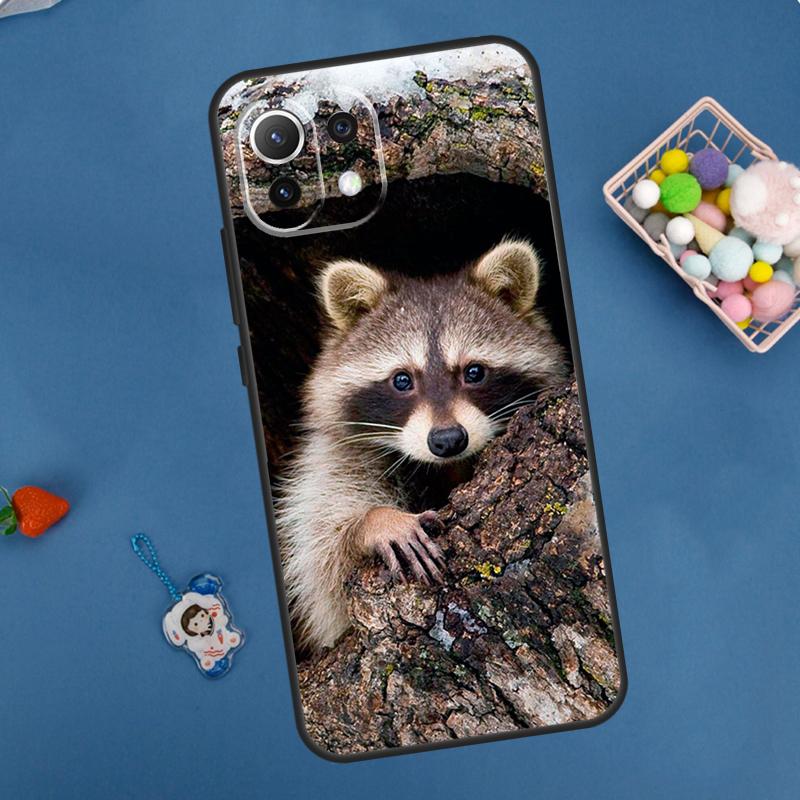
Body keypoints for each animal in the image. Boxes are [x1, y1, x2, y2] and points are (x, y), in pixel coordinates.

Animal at [276, 240, 568, 652]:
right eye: (402, 380)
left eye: (474, 372)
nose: (448, 440)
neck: (446, 467)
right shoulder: (336, 455)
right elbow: (322, 557)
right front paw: (374, 520)